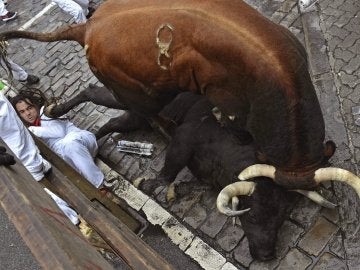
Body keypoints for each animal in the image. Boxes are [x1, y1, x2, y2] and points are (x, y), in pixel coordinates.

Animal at [0, 0, 360, 201]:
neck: (281, 76)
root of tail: (88, 26)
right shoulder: (231, 109)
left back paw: (56, 110)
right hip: (138, 94)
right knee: (131, 111)